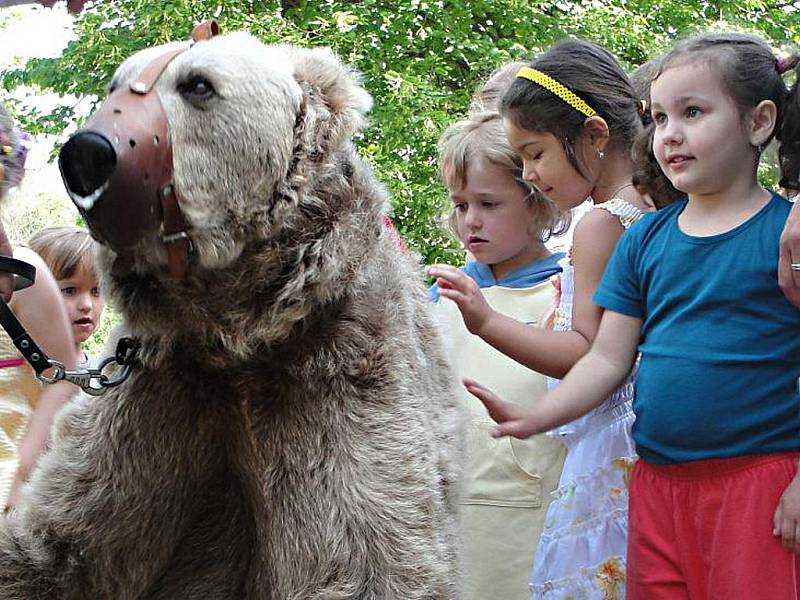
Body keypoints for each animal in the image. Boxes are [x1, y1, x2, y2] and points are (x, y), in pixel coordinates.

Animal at [0, 30, 462, 596]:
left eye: (198, 84)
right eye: (113, 83)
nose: (86, 154)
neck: (233, 328)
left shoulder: (339, 371)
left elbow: (368, 553)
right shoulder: (160, 396)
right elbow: (61, 547)